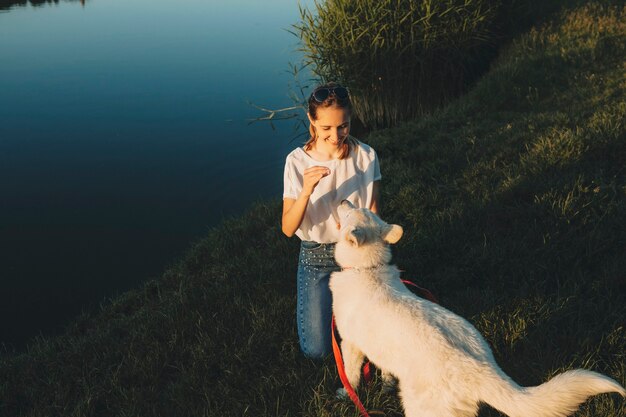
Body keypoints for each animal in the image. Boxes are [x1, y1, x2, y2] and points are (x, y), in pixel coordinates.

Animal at [330, 200, 620, 414]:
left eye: (350, 211)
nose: (342, 200)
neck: (367, 269)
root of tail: (480, 368)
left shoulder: (350, 344)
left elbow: (351, 374)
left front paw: (346, 394)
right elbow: (386, 372)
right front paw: (385, 385)